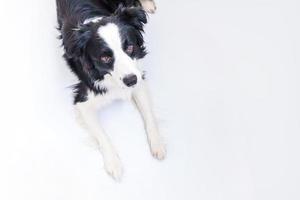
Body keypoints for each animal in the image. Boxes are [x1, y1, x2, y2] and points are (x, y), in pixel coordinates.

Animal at [55, 0, 165, 180]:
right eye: (105, 58)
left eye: (130, 48)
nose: (130, 80)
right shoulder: (82, 100)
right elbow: (102, 135)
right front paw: (114, 163)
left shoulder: (138, 76)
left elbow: (150, 116)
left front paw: (158, 144)